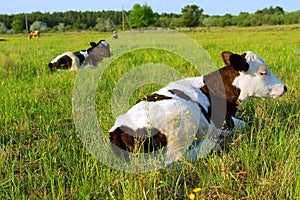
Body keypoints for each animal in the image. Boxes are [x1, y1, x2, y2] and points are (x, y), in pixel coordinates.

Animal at [109, 50, 288, 166]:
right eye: (263, 72)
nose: (284, 87)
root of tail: (118, 128)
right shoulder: (225, 122)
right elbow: (244, 125)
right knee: (178, 159)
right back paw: (212, 144)